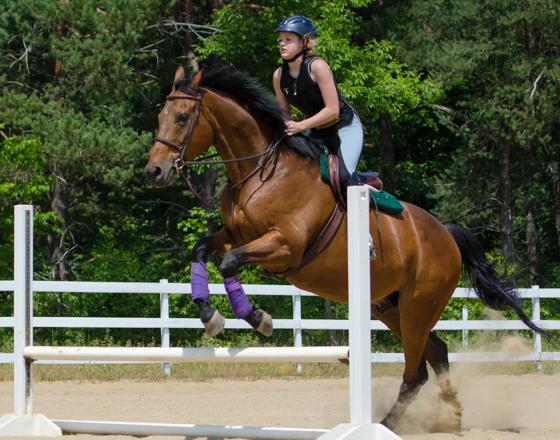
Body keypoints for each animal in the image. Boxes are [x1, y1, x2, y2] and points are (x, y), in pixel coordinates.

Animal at [147, 66, 544, 434]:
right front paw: (208, 314)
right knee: (434, 354)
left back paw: (388, 424)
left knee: (416, 369)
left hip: (418, 306)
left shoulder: (285, 246)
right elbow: (202, 251)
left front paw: (257, 318)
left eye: (182, 117)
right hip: (388, 306)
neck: (260, 172)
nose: (155, 171)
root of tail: (445, 234)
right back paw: (446, 416)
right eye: (161, 115)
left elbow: (229, 262)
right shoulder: (234, 234)